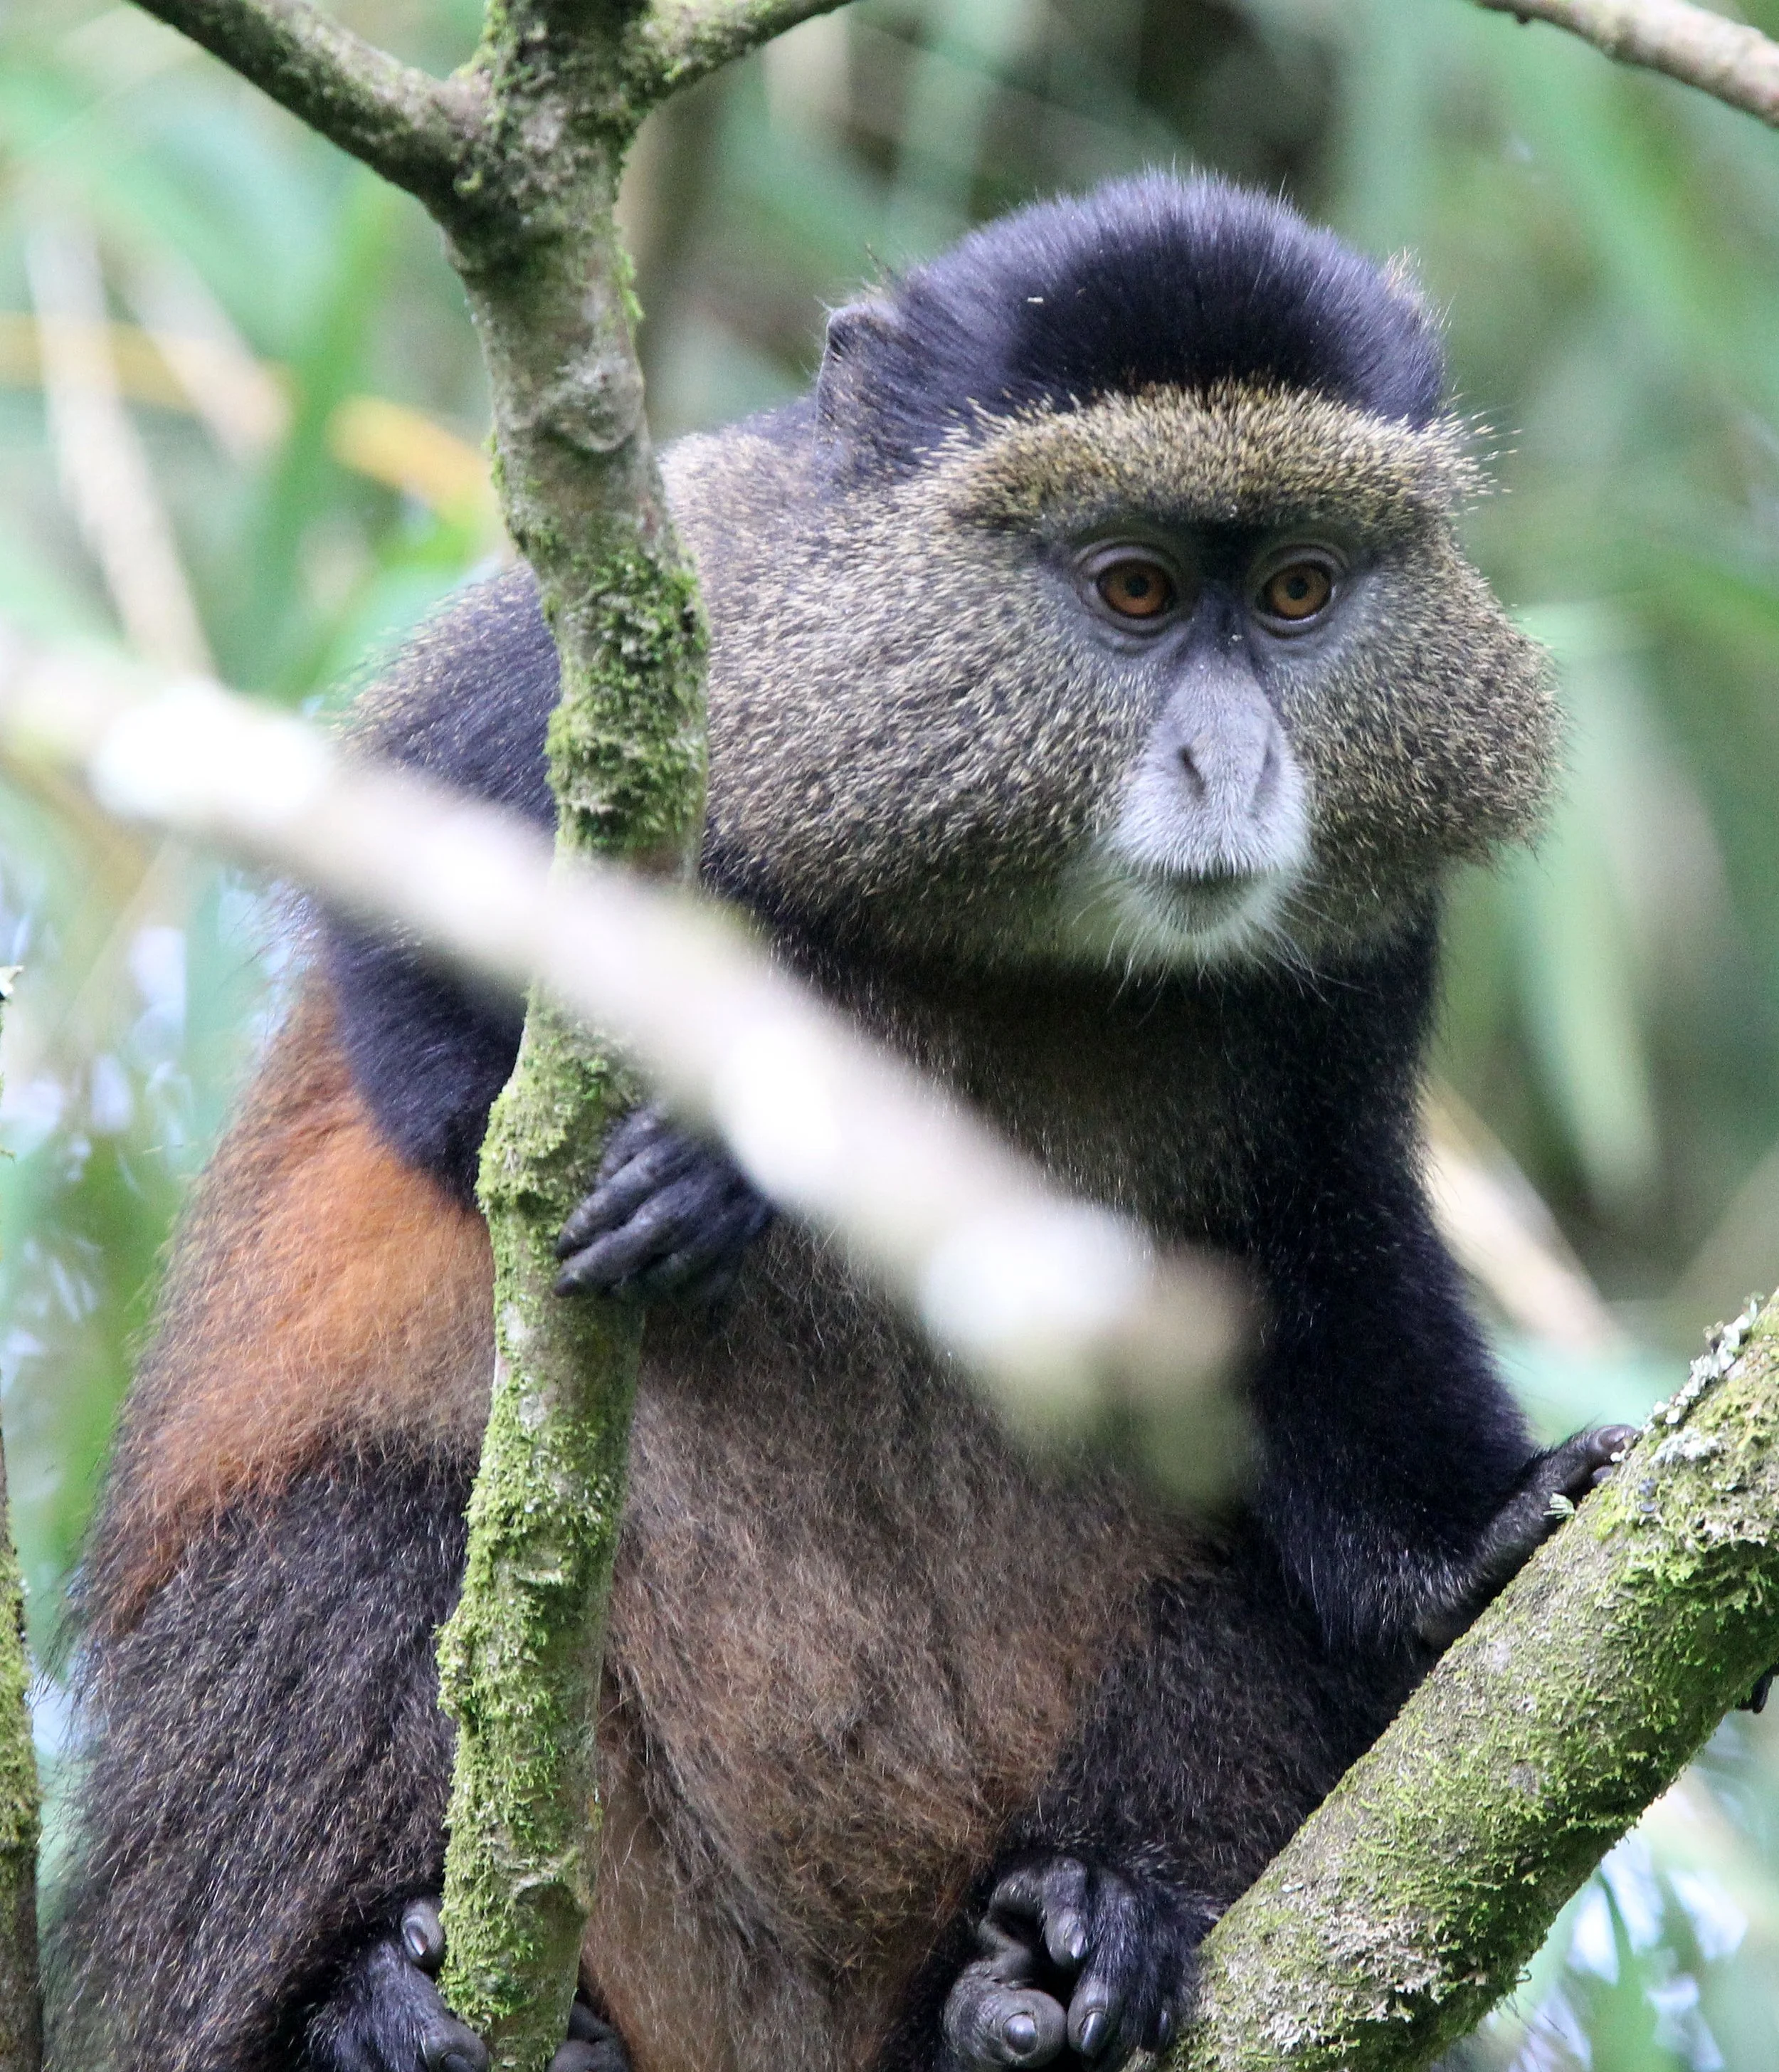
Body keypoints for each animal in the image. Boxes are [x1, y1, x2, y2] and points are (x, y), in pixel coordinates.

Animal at [47, 172, 1635, 2072]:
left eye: (1300, 589)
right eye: (1131, 586)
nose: (1230, 766)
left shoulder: (1361, 963)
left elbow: (1320, 1244)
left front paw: (1468, 1537)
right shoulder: (614, 657)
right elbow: (417, 970)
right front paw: (708, 1179)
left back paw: (1060, 1945)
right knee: (343, 1544)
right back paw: (361, 2000)